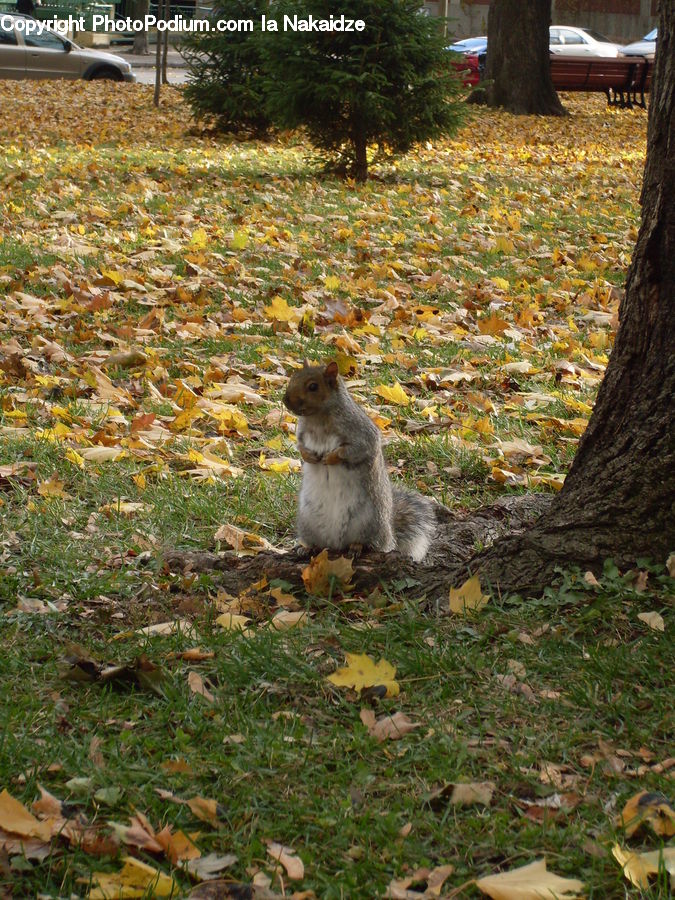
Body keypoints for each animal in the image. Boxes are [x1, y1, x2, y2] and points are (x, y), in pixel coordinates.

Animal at [283, 360, 436, 562]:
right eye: (293, 377)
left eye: (313, 387)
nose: (285, 400)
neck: (317, 418)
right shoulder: (301, 434)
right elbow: (300, 447)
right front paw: (309, 456)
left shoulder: (361, 433)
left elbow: (354, 450)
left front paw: (331, 457)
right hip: (308, 523)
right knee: (318, 543)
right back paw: (307, 548)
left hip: (369, 523)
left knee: (370, 544)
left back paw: (357, 547)